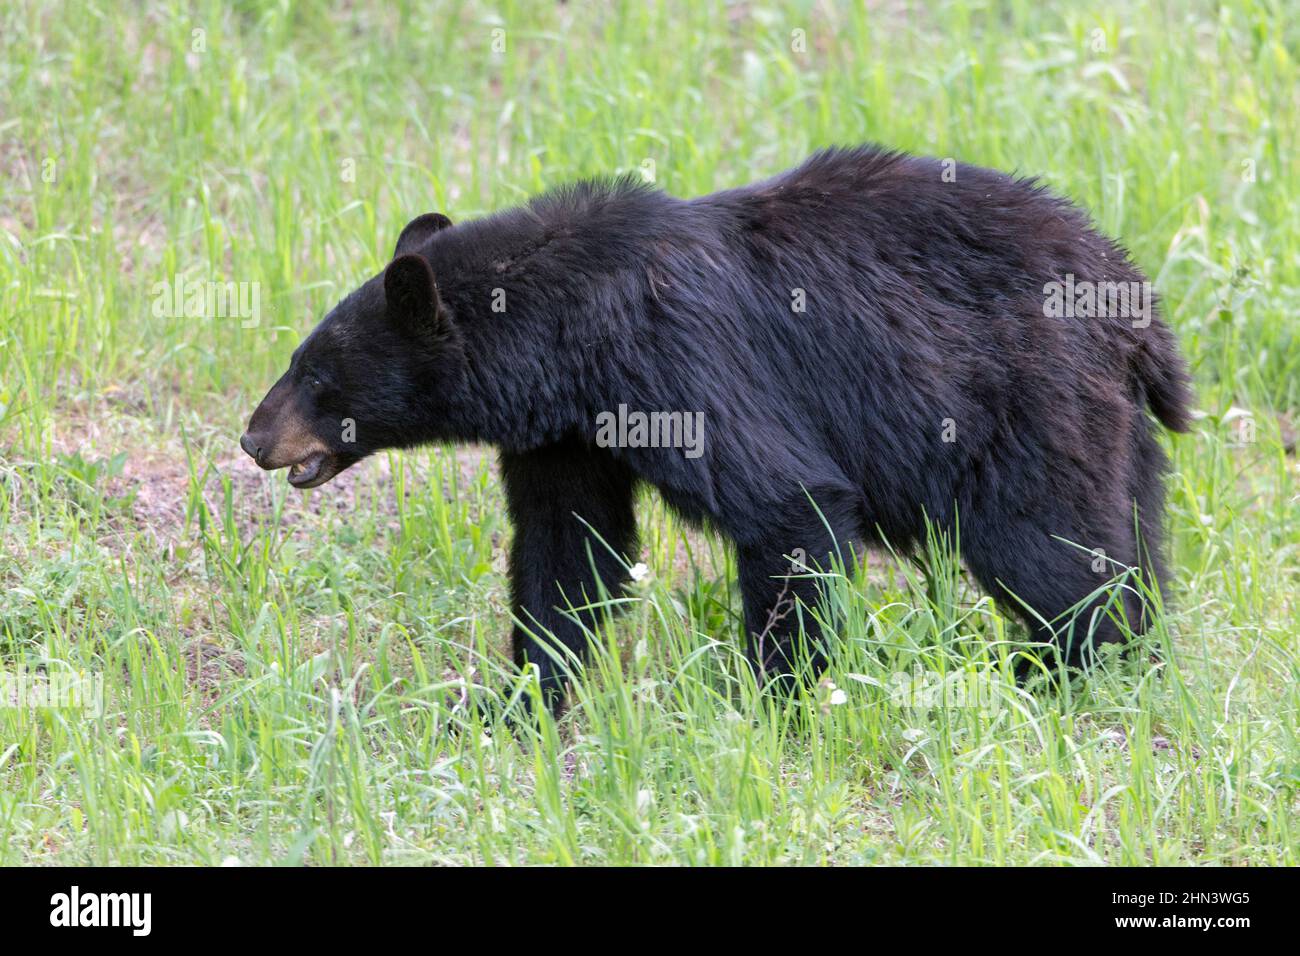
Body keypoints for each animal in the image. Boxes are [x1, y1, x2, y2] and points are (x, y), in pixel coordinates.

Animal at [241, 143, 1190, 712]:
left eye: (317, 376)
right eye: (296, 358)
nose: (251, 439)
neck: (569, 335)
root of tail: (1134, 303)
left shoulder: (679, 359)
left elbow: (788, 503)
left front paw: (781, 704)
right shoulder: (567, 434)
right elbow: (568, 549)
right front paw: (518, 701)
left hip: (1029, 407)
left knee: (1057, 556)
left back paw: (1064, 678)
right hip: (1119, 435)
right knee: (1129, 539)